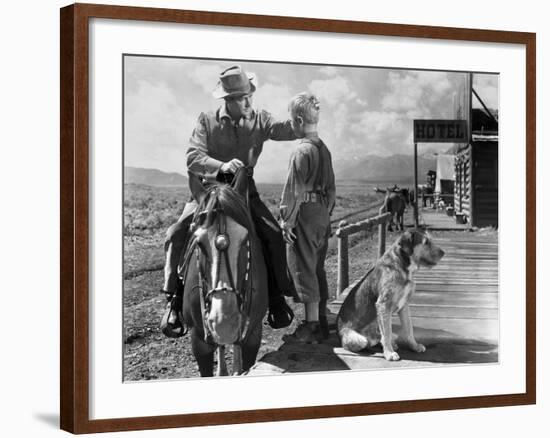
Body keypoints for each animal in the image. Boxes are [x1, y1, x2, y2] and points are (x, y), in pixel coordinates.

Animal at [338, 229, 446, 360]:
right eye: (426, 242)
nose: (443, 253)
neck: (402, 266)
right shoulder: (383, 304)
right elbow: (387, 333)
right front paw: (389, 353)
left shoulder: (404, 305)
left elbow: (409, 329)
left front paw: (414, 346)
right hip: (358, 339)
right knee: (369, 342)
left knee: (381, 337)